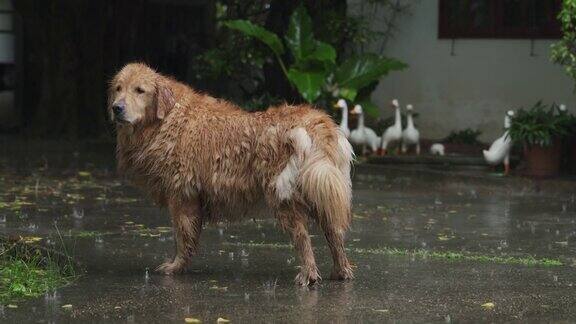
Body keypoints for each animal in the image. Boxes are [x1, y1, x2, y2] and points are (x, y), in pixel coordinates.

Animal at [106, 62, 354, 284]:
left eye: (140, 90)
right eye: (118, 88)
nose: (116, 108)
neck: (167, 118)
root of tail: (316, 122)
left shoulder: (182, 195)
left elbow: (182, 236)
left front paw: (175, 267)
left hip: (283, 195)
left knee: (303, 237)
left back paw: (308, 275)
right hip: (324, 189)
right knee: (335, 234)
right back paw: (341, 271)